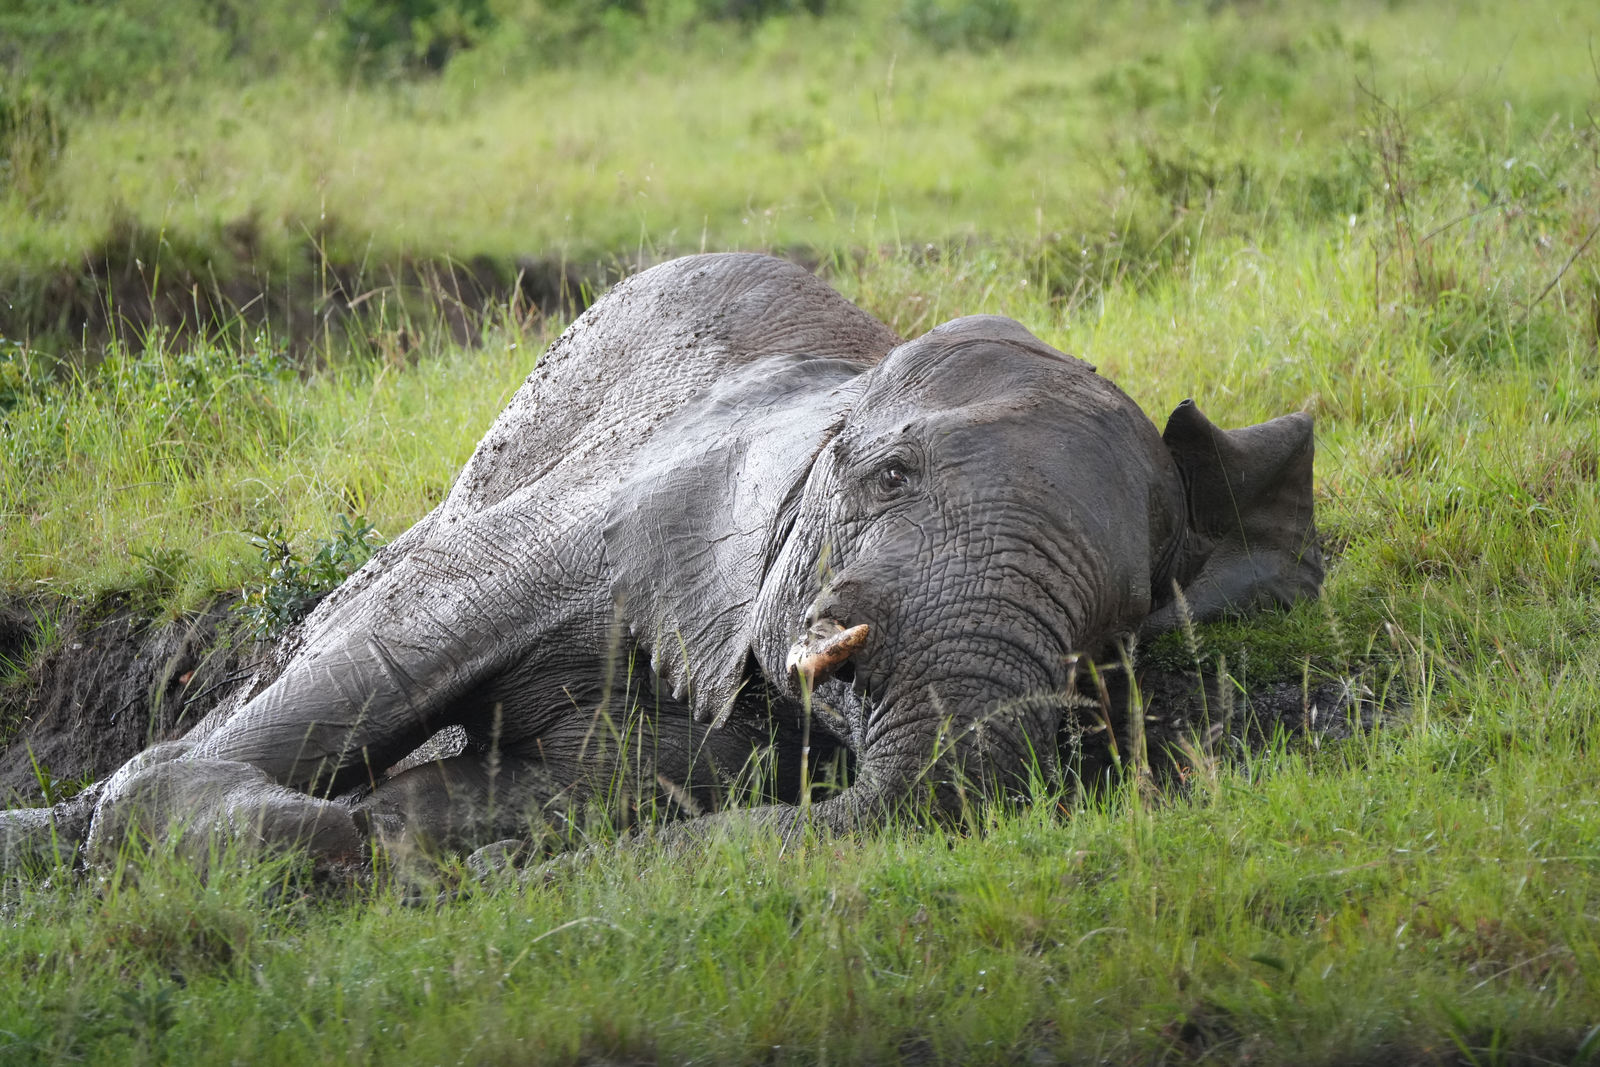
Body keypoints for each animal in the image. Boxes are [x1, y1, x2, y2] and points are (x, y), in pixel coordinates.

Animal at [0, 252, 1322, 872]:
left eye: (1127, 613)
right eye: (883, 475)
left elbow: (575, 788)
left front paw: (431, 848)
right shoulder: (618, 516)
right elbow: (394, 652)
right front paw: (359, 846)